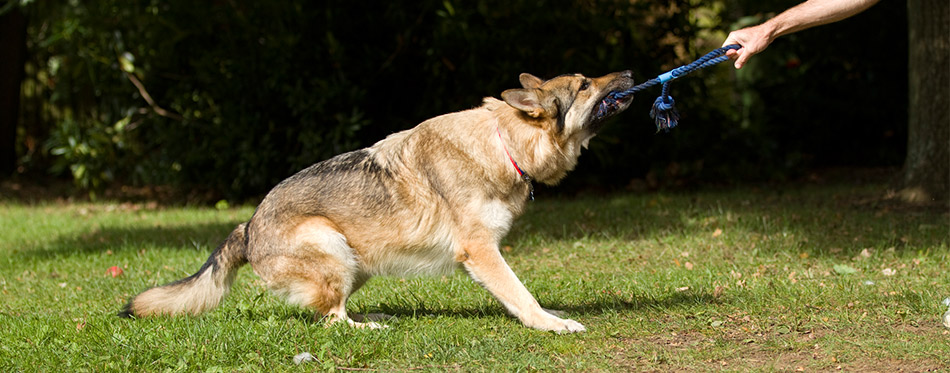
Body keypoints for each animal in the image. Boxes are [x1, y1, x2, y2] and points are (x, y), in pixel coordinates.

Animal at [121, 70, 640, 332]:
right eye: (585, 86)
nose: (632, 71)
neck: (504, 142)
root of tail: (247, 227)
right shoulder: (482, 253)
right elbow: (522, 295)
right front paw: (551, 324)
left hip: (359, 263)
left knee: (333, 310)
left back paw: (372, 315)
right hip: (333, 248)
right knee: (330, 321)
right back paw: (368, 327)